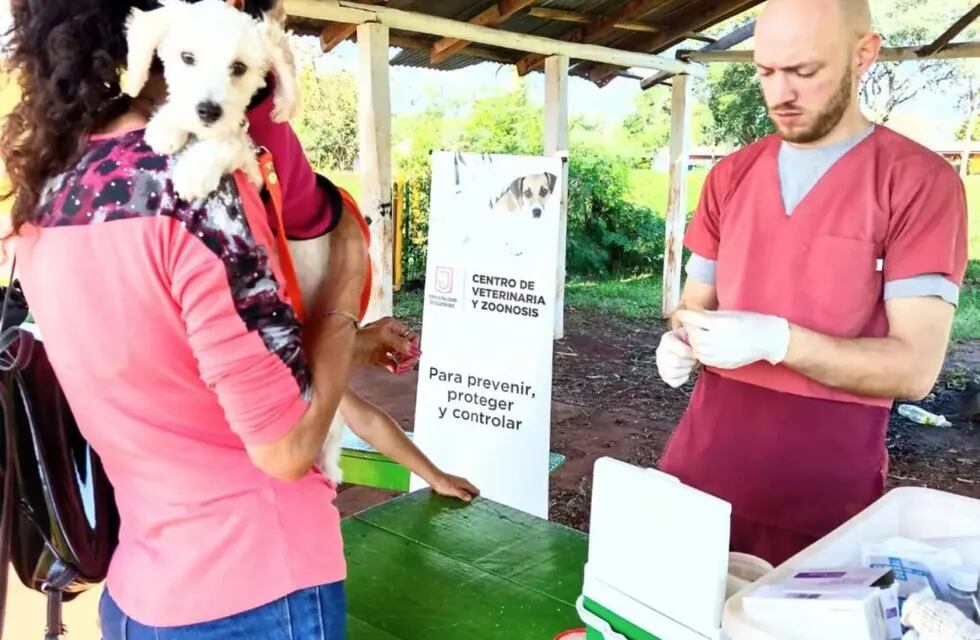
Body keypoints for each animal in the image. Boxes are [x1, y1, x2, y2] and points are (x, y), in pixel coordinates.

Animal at [124, 0, 298, 199]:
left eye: (239, 67)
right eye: (187, 57)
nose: (208, 112)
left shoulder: (255, 174)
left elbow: (233, 142)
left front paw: (194, 172)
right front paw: (166, 125)